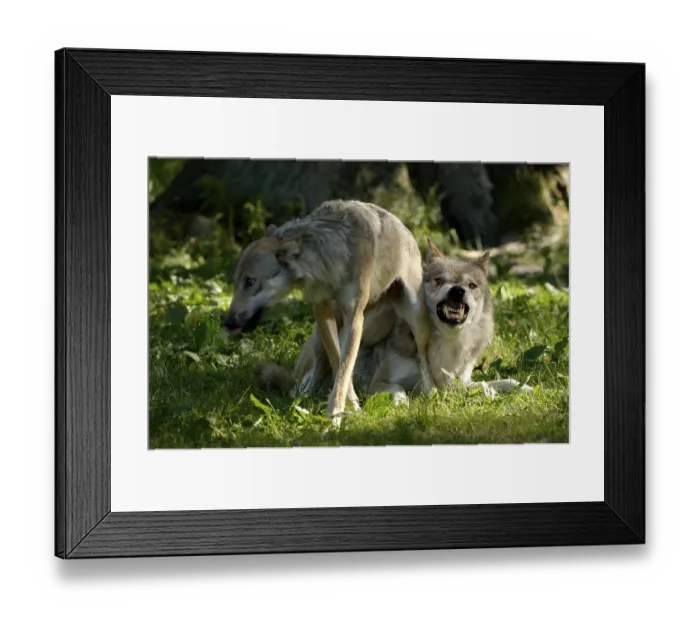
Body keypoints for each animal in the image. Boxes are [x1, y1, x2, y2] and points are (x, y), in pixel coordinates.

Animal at [223, 200, 436, 419]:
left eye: (250, 281)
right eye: (236, 282)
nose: (227, 322)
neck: (327, 259)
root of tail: (406, 230)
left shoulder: (354, 319)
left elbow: (344, 368)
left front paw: (336, 414)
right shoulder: (322, 312)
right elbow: (338, 363)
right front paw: (348, 407)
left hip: (415, 321)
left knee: (423, 357)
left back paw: (432, 393)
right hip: (321, 335)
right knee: (316, 370)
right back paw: (302, 394)